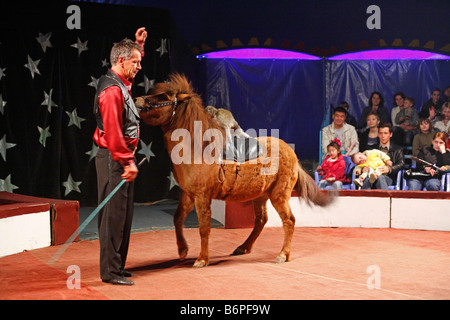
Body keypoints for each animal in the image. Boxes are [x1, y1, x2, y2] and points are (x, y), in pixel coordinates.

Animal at [135, 73, 332, 268]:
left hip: (279, 194)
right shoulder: (188, 194)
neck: (198, 148)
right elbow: (177, 218)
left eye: (163, 97)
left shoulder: (202, 197)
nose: (137, 99)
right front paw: (183, 250)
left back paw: (283, 254)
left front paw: (202, 259)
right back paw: (243, 247)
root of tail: (291, 153)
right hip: (261, 195)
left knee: (289, 220)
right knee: (261, 220)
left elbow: (204, 228)